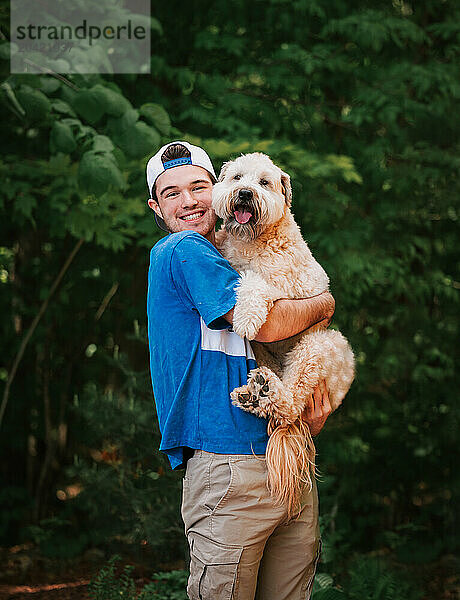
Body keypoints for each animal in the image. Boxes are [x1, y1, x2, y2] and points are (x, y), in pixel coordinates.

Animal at [212, 154, 356, 516]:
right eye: (237, 178)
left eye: (264, 182)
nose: (245, 193)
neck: (251, 238)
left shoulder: (283, 287)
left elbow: (252, 281)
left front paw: (246, 317)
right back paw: (254, 393)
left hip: (319, 346)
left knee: (289, 404)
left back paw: (267, 393)